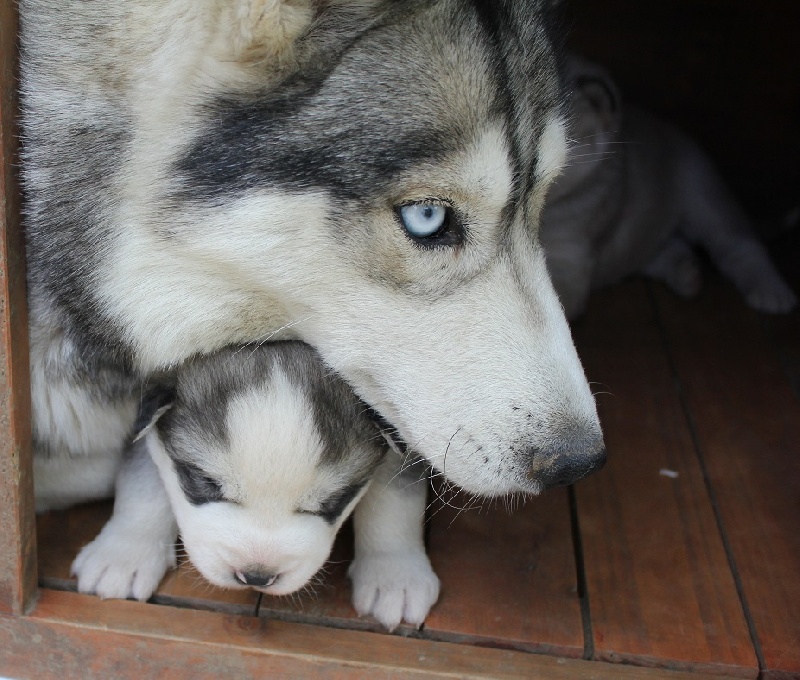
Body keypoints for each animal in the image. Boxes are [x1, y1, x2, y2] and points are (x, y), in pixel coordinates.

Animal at [72, 342, 440, 636]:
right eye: (206, 483)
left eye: (333, 500)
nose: (256, 576)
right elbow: (145, 481)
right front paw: (122, 556)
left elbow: (394, 498)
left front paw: (394, 577)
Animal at [540, 55, 796, 318]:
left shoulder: (571, 256)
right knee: (665, 249)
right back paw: (687, 275)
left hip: (704, 197)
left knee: (741, 246)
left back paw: (771, 291)